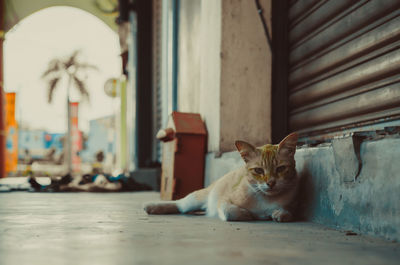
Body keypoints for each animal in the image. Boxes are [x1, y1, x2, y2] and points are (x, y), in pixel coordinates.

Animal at [145, 132, 300, 221]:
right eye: (258, 170)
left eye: (281, 168)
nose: (271, 183)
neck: (265, 199)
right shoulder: (224, 200)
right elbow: (230, 212)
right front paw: (247, 214)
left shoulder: (291, 204)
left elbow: (287, 213)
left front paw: (279, 213)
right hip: (195, 199)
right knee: (179, 205)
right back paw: (151, 207)